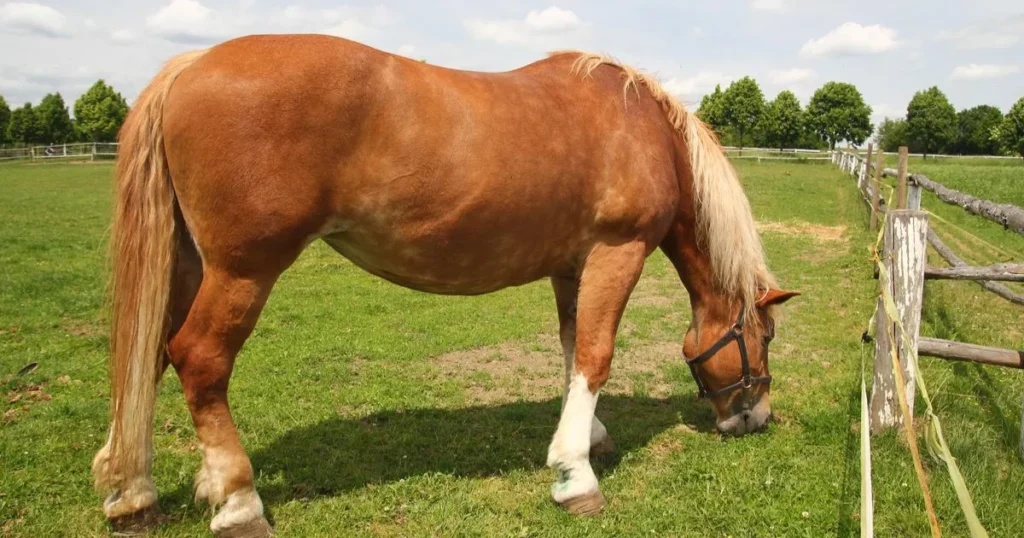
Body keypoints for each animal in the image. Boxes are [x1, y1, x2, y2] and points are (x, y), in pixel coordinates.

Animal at [94, 34, 798, 536]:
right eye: (764, 337)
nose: (755, 418)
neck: (640, 126)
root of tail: (191, 64)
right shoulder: (615, 253)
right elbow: (596, 356)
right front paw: (576, 476)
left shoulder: (572, 267)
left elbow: (572, 350)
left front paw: (590, 439)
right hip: (244, 271)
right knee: (199, 360)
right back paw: (238, 502)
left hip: (188, 265)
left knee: (147, 357)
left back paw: (136, 492)